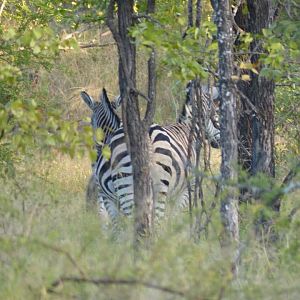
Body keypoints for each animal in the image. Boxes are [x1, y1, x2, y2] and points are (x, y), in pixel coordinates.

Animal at [97, 83, 221, 224]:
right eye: (217, 113)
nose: (220, 141)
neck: (188, 129)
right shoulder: (186, 190)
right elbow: (175, 216)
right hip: (158, 187)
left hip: (121, 189)